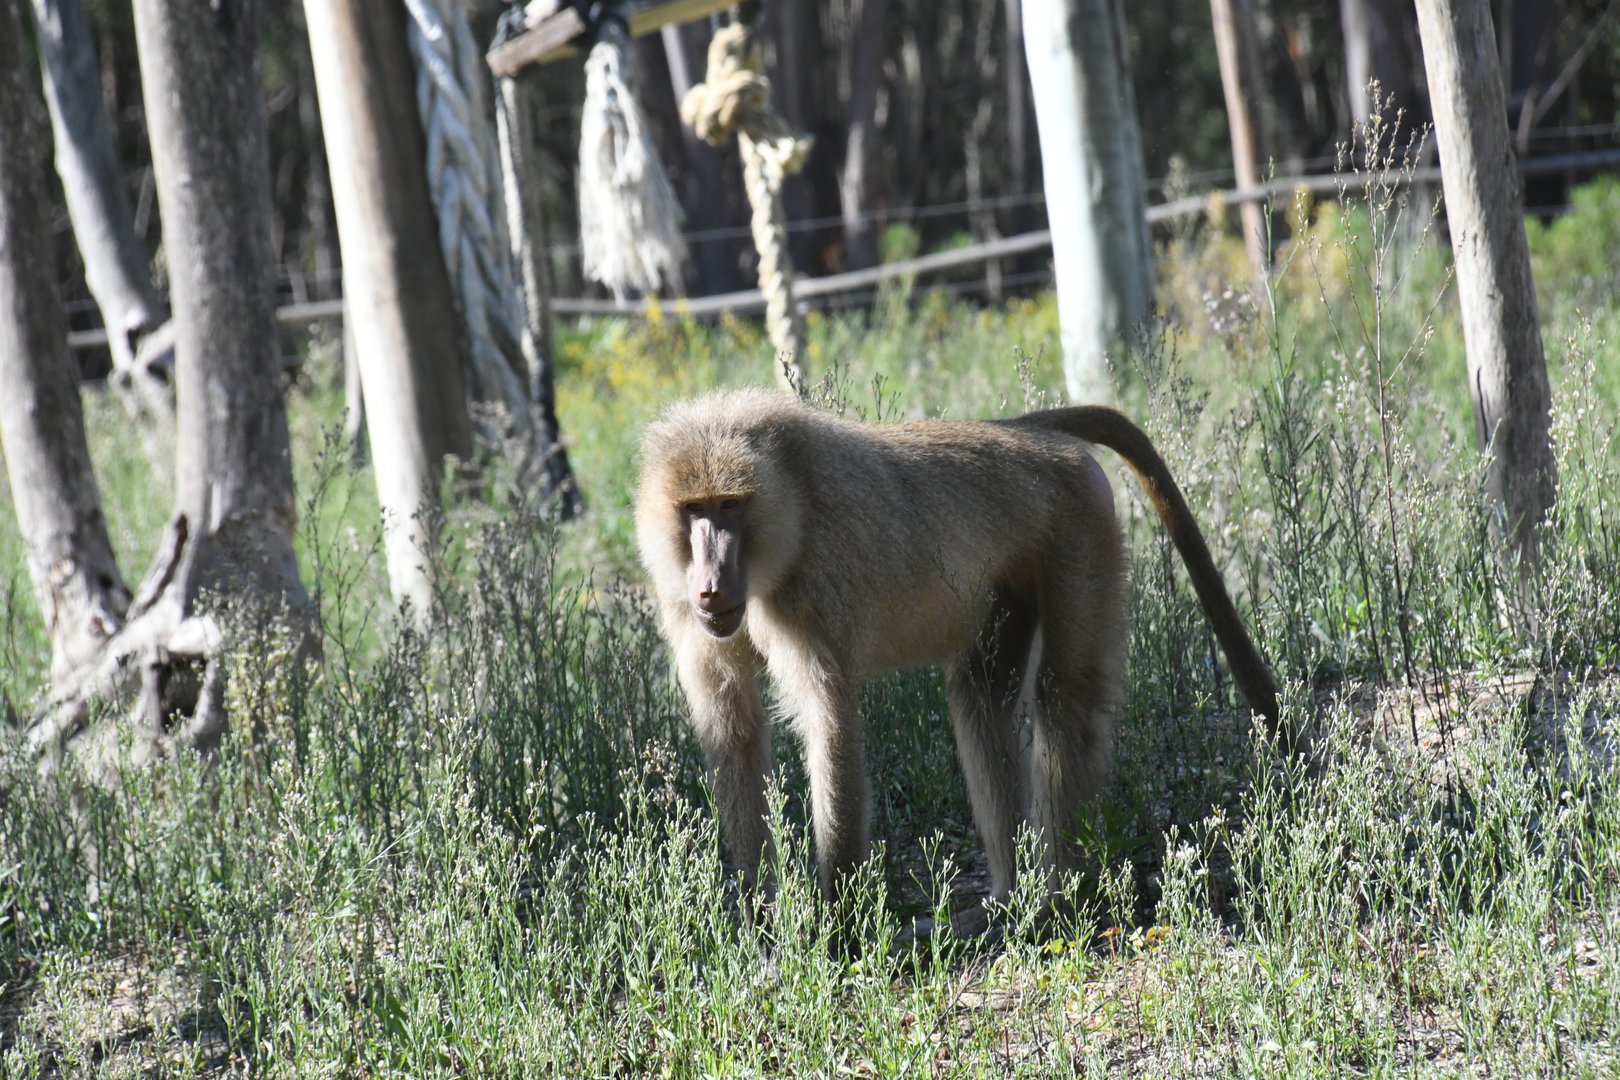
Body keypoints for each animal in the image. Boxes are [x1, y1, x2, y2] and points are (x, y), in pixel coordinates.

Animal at [635, 387, 1279, 911]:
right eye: (693, 510)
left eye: (730, 506)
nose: (712, 582)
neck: (787, 501)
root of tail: (1026, 432)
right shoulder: (684, 605)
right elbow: (734, 733)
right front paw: (760, 925)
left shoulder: (813, 587)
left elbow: (828, 723)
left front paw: (839, 931)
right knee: (983, 694)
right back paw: (1012, 894)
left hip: (1079, 524)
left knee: (1066, 695)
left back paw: (1064, 894)